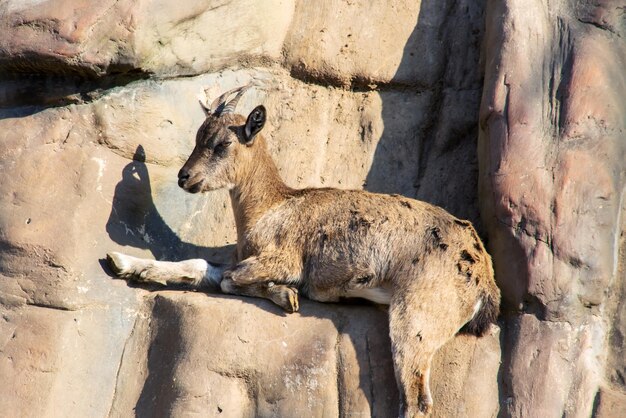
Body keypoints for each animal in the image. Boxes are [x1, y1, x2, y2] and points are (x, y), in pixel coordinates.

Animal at [106, 84, 498, 414]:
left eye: (222, 144)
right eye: (198, 137)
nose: (185, 177)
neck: (270, 208)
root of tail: (484, 279)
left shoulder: (284, 259)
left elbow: (230, 279)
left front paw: (285, 295)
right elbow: (201, 265)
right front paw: (123, 262)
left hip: (417, 315)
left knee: (417, 399)